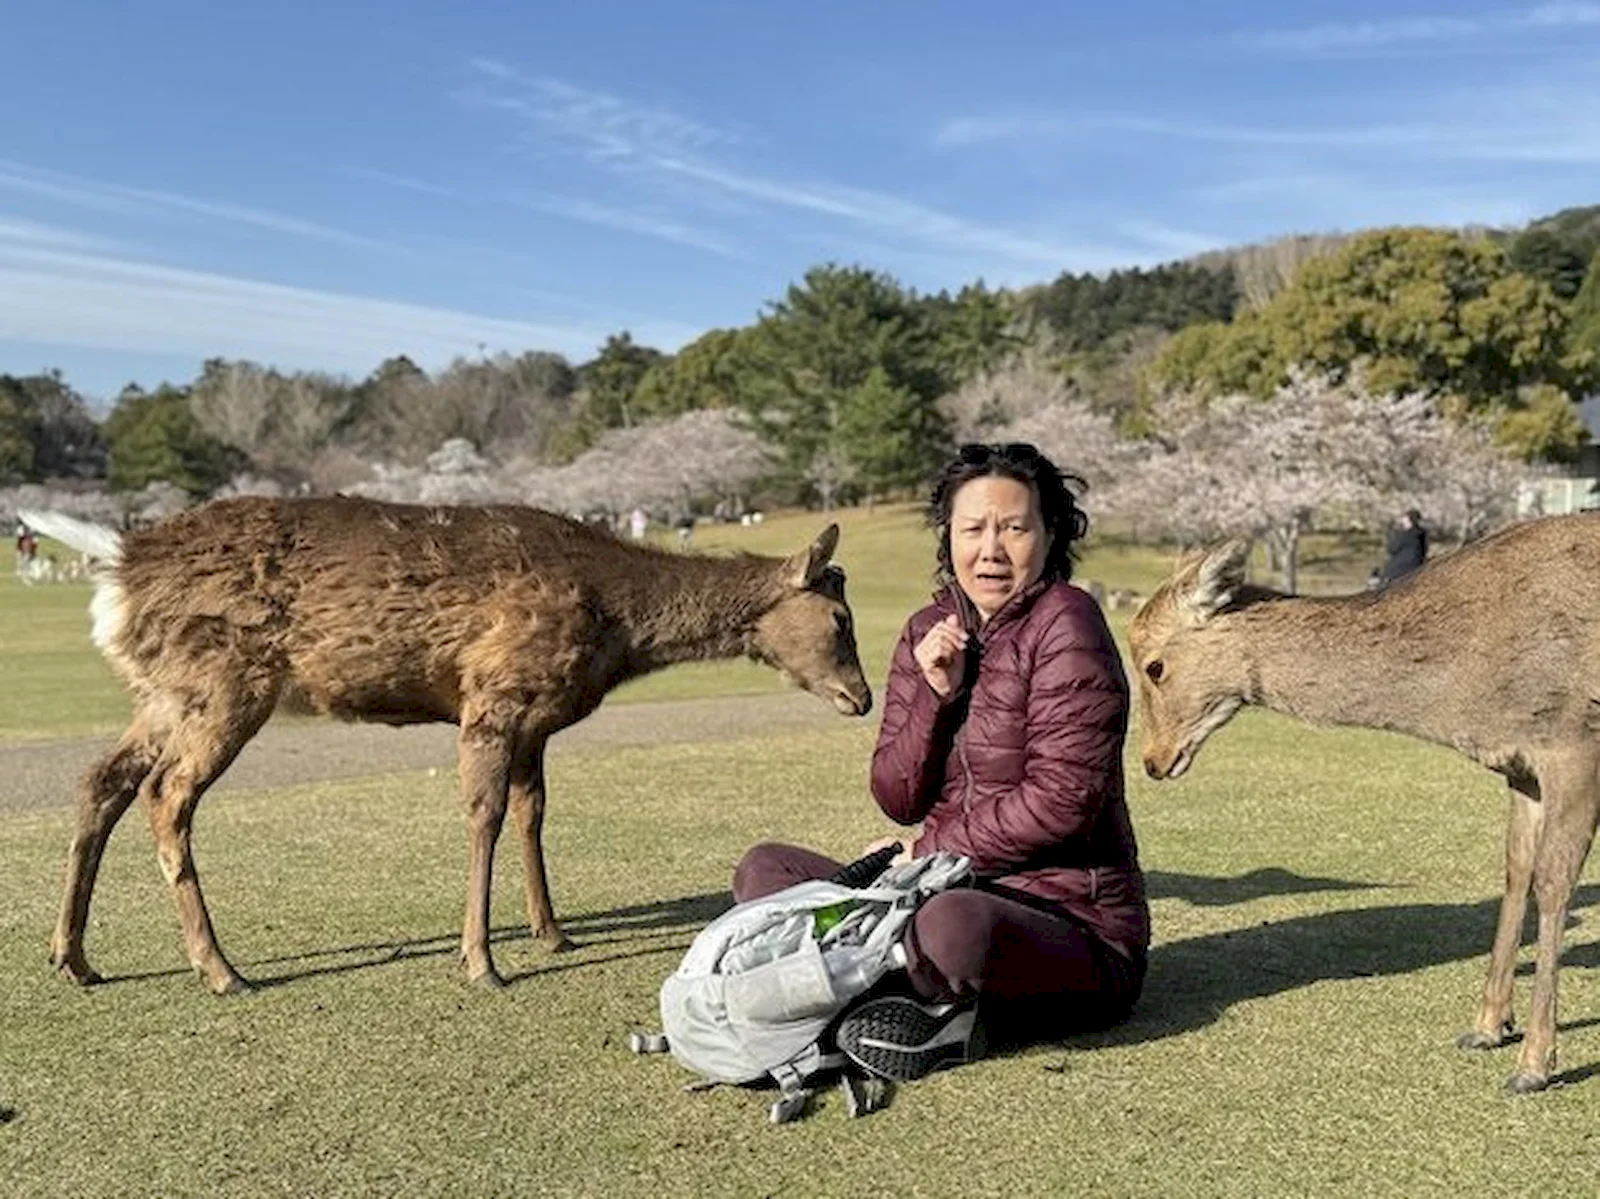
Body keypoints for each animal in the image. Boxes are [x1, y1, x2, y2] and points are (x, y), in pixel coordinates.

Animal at [21, 496, 873, 994]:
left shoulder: (537, 719)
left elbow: (533, 812)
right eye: (840, 621)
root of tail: (116, 567)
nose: (862, 698)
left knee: (101, 779)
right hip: (226, 680)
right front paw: (483, 962)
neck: (617, 625)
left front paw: (552, 932)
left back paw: (75, 955)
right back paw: (220, 968)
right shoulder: (494, 693)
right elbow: (484, 816)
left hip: (166, 691)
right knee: (166, 794)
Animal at [1128, 515, 1600, 1094]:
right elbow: (1517, 873)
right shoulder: (1521, 767)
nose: (1153, 760)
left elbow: (1554, 884)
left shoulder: (1573, 744)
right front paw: (1487, 1026)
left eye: (1154, 666)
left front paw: (1534, 1064)